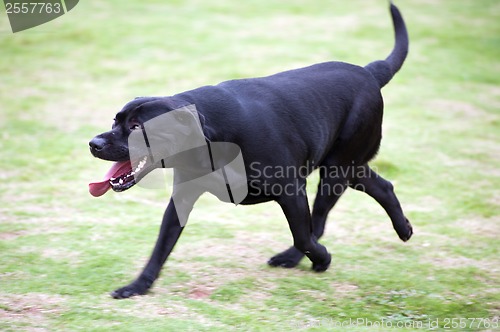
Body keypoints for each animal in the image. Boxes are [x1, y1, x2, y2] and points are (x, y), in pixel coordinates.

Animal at [90, 2, 414, 298]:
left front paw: (323, 258)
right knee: (382, 186)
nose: (94, 144)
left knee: (318, 223)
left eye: (135, 127)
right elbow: (161, 245)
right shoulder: (181, 198)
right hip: (347, 165)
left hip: (336, 170)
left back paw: (300, 257)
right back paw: (404, 229)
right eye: (115, 120)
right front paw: (137, 286)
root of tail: (370, 72)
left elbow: (303, 236)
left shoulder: (291, 191)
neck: (210, 136)